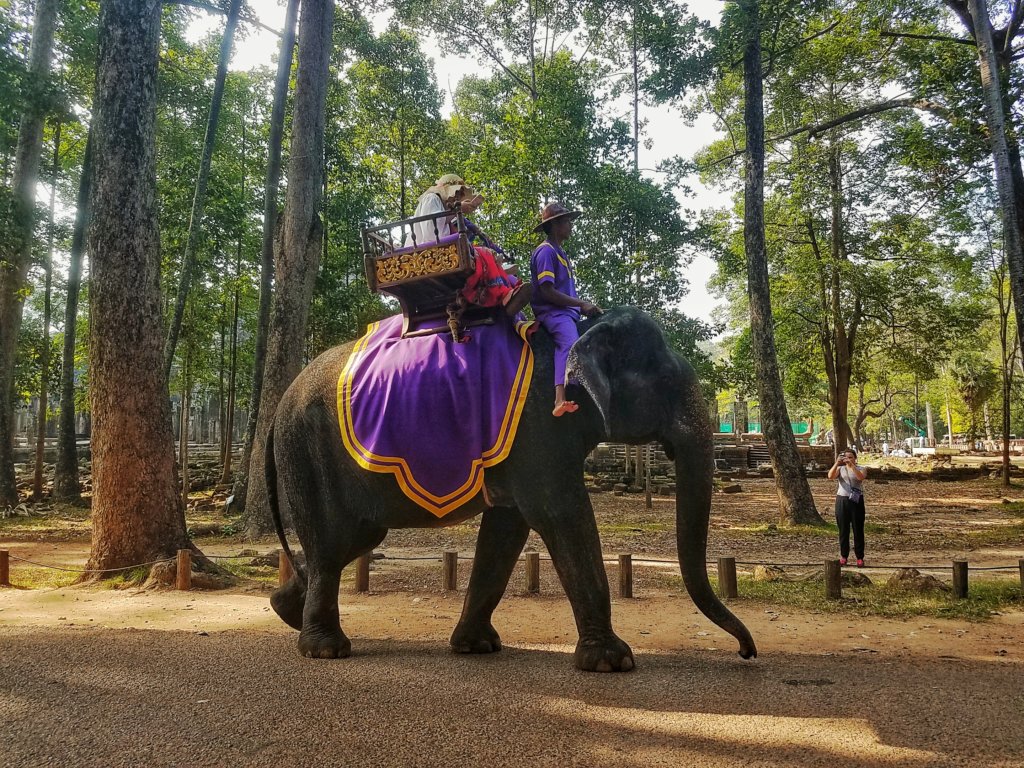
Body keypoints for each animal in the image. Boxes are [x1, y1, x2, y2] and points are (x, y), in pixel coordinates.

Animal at [266, 306, 756, 671]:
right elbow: (560, 513)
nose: (746, 652)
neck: (581, 329)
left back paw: (285, 609)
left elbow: (508, 529)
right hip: (309, 451)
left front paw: (476, 646)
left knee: (352, 541)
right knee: (335, 541)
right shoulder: (540, 425)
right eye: (668, 382)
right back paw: (326, 649)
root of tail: (277, 409)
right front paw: (612, 662)